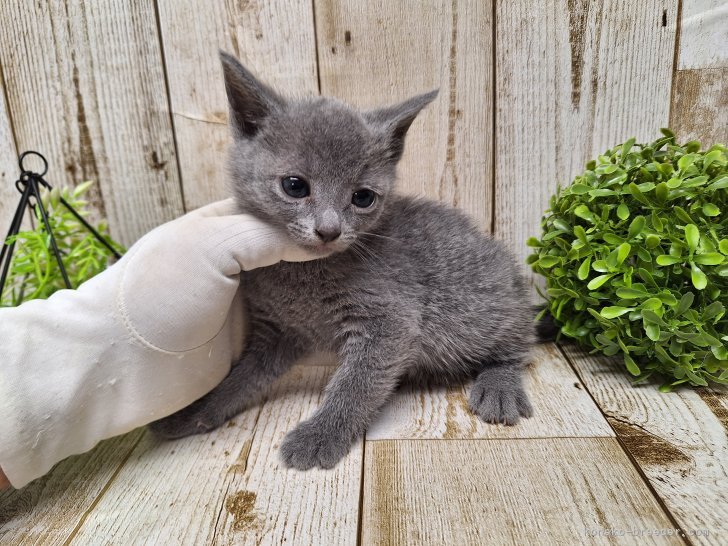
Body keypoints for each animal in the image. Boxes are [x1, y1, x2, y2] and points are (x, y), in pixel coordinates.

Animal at [149, 52, 536, 468]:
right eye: (295, 186)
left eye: (363, 197)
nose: (329, 229)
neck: (303, 275)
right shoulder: (277, 331)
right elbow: (240, 378)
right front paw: (196, 411)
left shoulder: (390, 320)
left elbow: (356, 384)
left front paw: (320, 435)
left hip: (486, 307)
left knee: (517, 343)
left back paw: (499, 387)